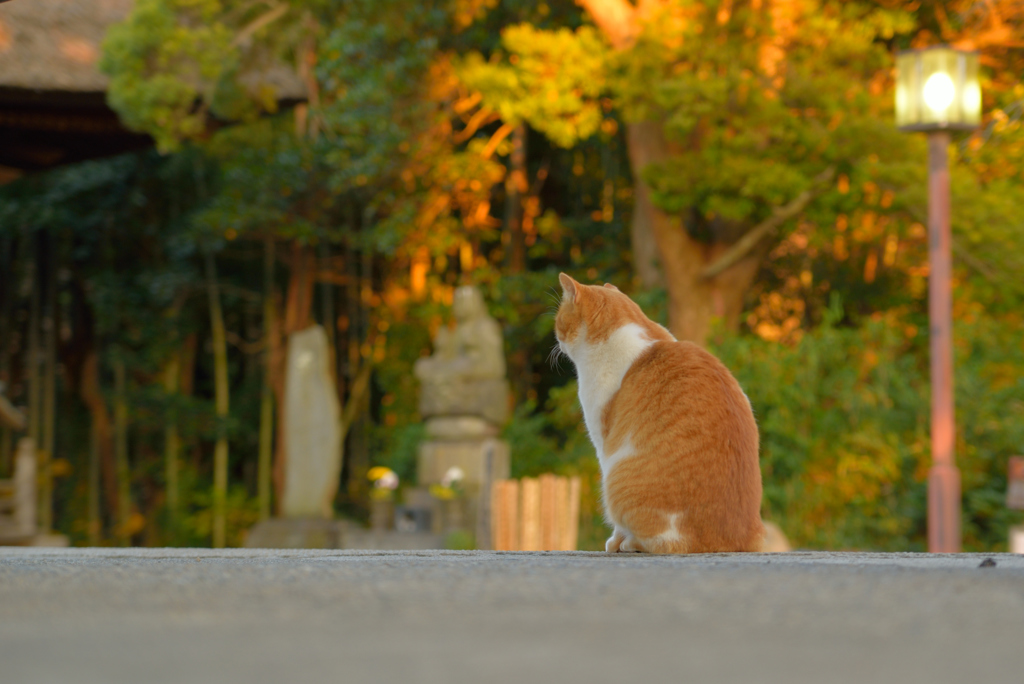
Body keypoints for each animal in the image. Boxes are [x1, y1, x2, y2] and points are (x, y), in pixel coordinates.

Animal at [557, 270, 765, 552]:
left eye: (558, 320)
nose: (557, 340)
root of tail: (736, 541)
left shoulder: (605, 446)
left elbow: (618, 525)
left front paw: (615, 541)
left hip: (617, 476)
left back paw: (630, 543)